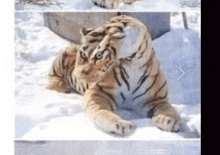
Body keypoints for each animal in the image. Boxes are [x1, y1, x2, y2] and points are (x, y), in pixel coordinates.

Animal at [48, 14, 182, 136]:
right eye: (83, 55)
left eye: (99, 55)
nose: (80, 74)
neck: (133, 63)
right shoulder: (98, 93)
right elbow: (102, 111)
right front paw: (120, 124)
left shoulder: (156, 99)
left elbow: (168, 109)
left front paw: (168, 120)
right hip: (60, 61)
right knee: (51, 78)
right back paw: (63, 87)